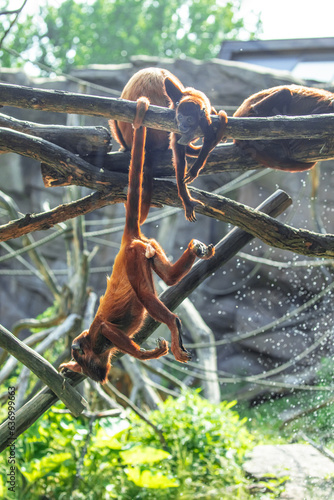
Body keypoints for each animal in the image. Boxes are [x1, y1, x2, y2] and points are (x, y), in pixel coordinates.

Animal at [60, 96, 215, 382]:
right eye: (88, 366)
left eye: (83, 353)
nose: (97, 373)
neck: (92, 346)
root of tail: (125, 244)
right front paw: (69, 368)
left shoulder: (97, 336)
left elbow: (107, 328)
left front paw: (144, 355)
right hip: (147, 246)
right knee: (169, 278)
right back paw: (194, 251)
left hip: (133, 257)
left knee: (144, 293)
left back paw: (173, 323)